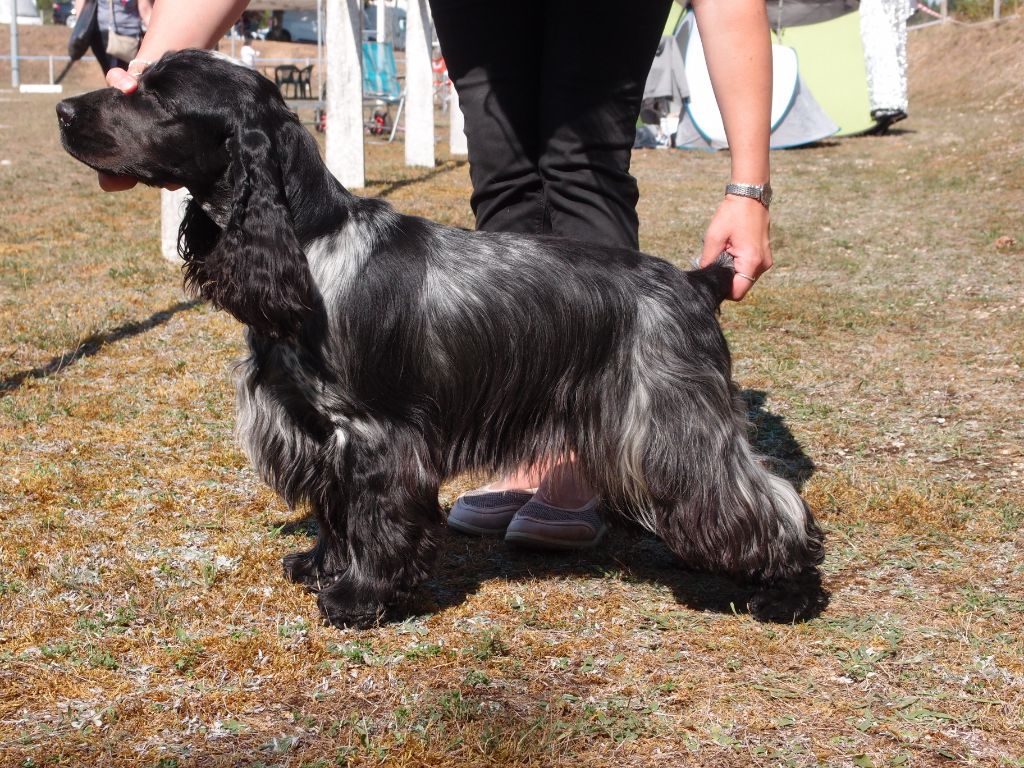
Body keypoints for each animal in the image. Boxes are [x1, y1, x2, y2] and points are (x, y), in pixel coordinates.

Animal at [57, 50, 825, 628]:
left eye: (158, 98)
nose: (62, 111)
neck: (309, 244)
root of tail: (696, 281)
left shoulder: (375, 434)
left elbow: (373, 517)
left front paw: (358, 596)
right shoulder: (316, 430)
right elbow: (334, 513)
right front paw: (319, 567)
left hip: (671, 421)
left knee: (765, 501)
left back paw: (786, 592)